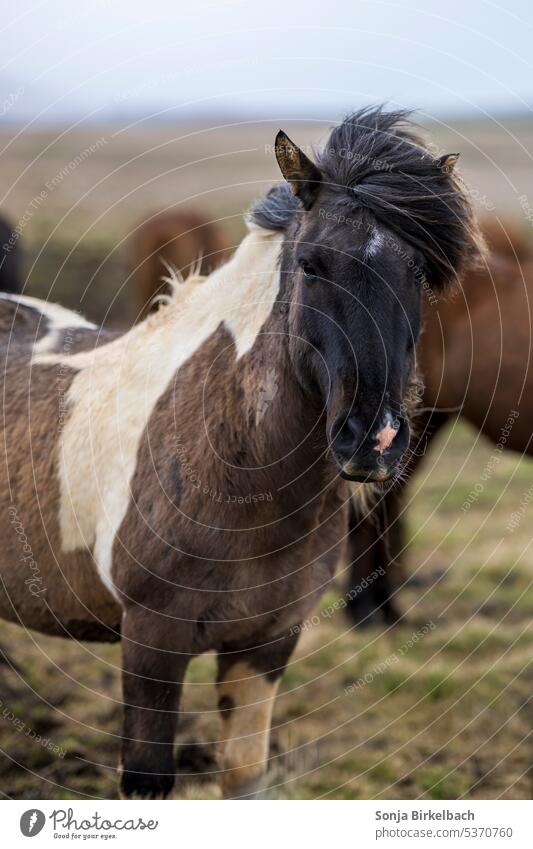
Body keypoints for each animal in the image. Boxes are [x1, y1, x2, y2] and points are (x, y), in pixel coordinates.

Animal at [0, 109, 480, 800]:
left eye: (418, 271)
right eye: (311, 265)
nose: (374, 440)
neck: (238, 468)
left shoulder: (266, 646)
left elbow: (244, 776)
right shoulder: (151, 645)